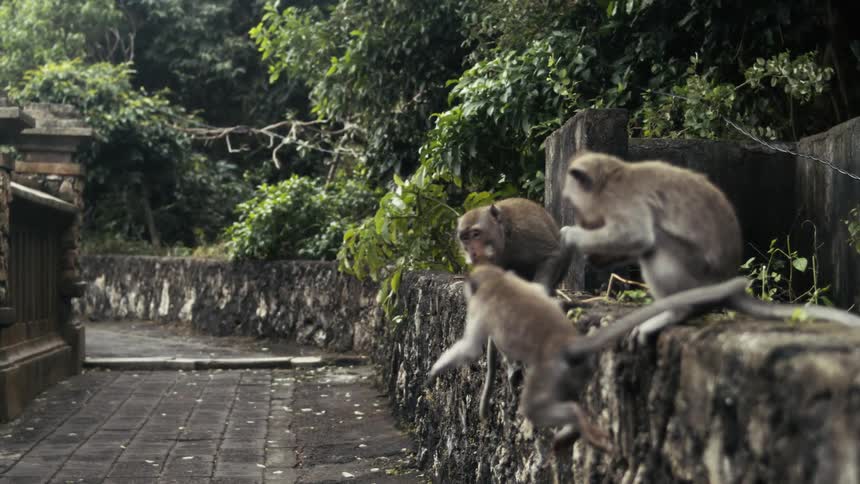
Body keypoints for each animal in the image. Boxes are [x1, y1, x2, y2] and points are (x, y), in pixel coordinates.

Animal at [425, 264, 750, 451]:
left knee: (536, 407)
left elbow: (471, 349)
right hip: (579, 373)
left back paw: (574, 420)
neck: (498, 281)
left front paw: (433, 372)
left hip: (550, 372)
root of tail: (570, 346)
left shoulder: (481, 305)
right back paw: (572, 431)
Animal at [456, 198, 575, 421]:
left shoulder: (527, 232)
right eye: (465, 238)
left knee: (566, 235)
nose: (472, 252)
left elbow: (551, 255)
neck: (505, 237)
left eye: (476, 234)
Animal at [559, 151, 860, 343]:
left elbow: (637, 236)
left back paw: (675, 313)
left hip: (696, 276)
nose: (581, 221)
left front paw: (572, 235)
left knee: (658, 244)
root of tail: (725, 283)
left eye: (573, 205)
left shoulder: (622, 201)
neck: (612, 178)